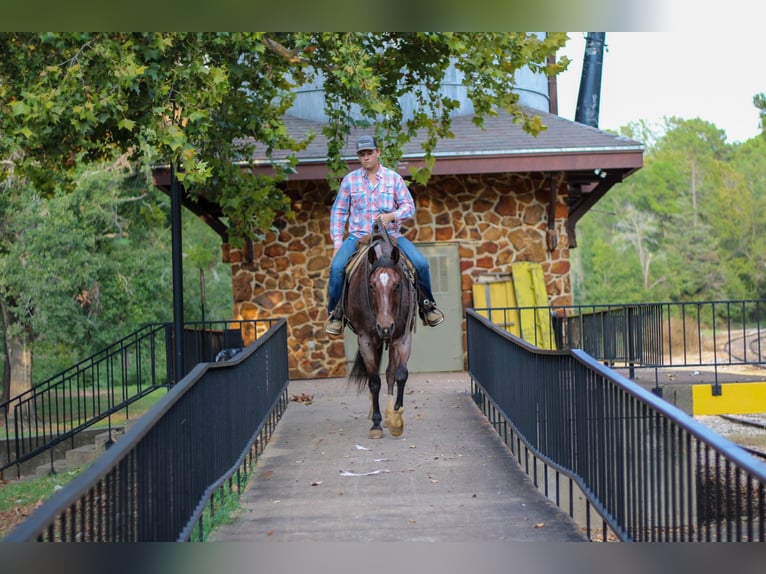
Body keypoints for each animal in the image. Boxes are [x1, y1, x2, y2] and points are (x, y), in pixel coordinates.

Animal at [346, 223, 420, 438]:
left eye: (397, 285)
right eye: (371, 286)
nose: (385, 327)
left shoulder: (402, 337)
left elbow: (399, 374)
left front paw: (395, 419)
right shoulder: (366, 339)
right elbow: (373, 382)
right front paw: (376, 424)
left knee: (389, 373)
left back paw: (388, 414)